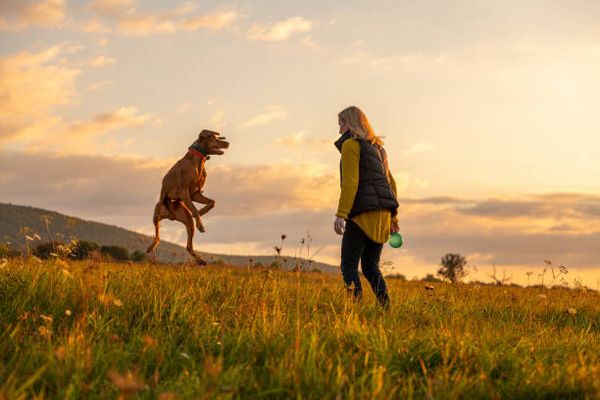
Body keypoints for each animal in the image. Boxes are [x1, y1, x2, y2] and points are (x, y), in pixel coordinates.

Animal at [147, 130, 230, 264]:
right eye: (214, 138)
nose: (228, 143)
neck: (198, 159)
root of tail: (171, 215)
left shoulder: (195, 194)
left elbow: (212, 202)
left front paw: (201, 213)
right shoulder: (183, 192)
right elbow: (194, 209)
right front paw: (200, 222)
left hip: (187, 220)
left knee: (188, 246)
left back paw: (200, 260)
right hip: (157, 211)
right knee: (157, 235)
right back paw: (152, 246)